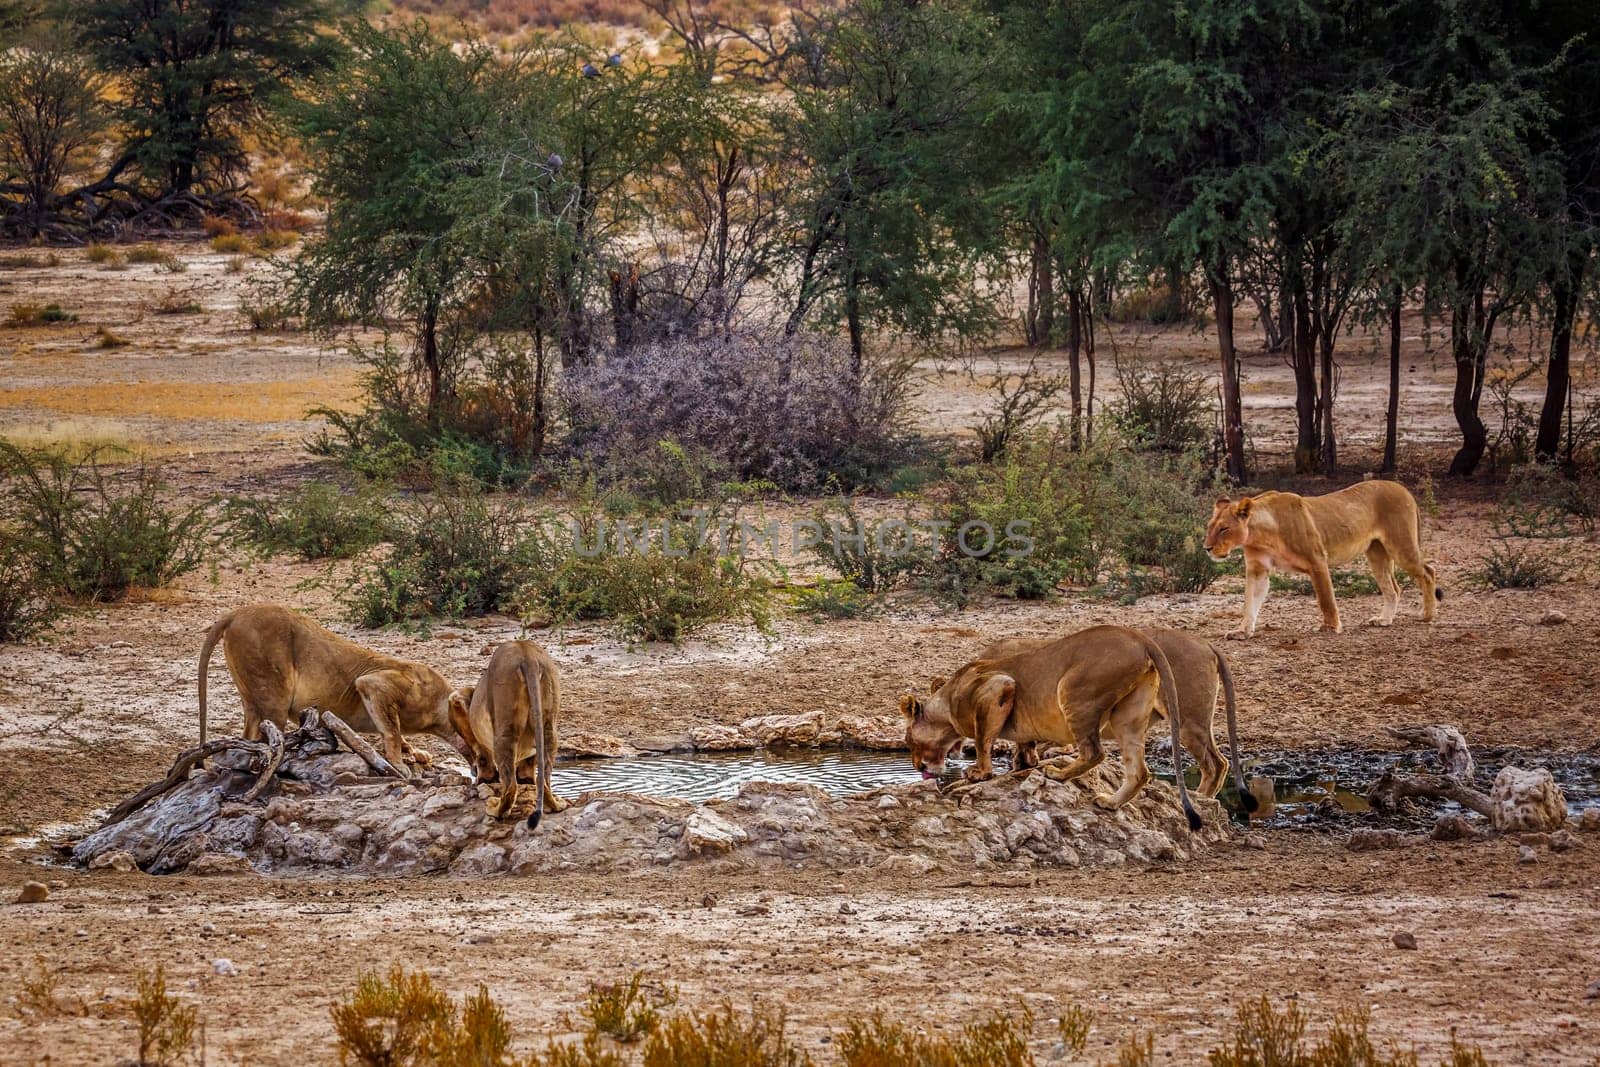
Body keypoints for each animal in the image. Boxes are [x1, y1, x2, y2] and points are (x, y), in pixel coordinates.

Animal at [198, 604, 457, 771]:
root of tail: (236, 613)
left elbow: (396, 730)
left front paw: (415, 754)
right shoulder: (376, 684)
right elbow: (392, 730)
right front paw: (398, 765)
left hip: (252, 697)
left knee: (248, 737)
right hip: (272, 691)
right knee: (269, 740)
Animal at [451, 639, 569, 831]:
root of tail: (527, 655)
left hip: (504, 728)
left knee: (510, 786)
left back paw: (496, 809)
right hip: (549, 725)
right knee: (543, 779)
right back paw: (555, 805)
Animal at [902, 620, 1203, 831]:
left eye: (909, 741)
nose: (917, 767)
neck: (946, 703)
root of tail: (1139, 638)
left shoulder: (998, 686)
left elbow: (983, 738)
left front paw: (979, 773)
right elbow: (1022, 742)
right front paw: (1023, 763)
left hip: (1074, 692)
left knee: (1095, 752)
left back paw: (1058, 774)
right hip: (1129, 715)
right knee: (1139, 771)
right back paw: (1110, 802)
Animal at [979, 627, 1254, 799]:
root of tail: (1205, 643)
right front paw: (1024, 762)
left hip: (1187, 720)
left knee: (1214, 764)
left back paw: (1198, 799)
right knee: (1221, 761)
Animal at [1203, 479, 1446, 639]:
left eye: (1224, 528)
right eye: (1209, 527)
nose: (1206, 548)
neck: (1261, 534)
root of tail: (1403, 488)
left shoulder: (1317, 560)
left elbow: (1325, 598)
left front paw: (1330, 627)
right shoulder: (1258, 569)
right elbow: (1250, 602)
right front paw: (1242, 631)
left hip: (1401, 546)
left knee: (1428, 572)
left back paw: (1427, 615)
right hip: (1377, 554)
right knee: (1393, 587)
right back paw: (1384, 620)